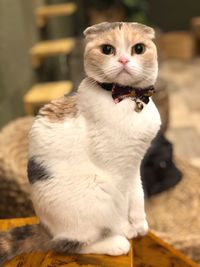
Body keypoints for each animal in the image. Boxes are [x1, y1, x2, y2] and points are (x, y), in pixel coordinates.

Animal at [0, 22, 160, 264]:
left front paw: (139, 224)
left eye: (139, 48)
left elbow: (137, 195)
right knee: (68, 245)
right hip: (95, 195)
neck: (128, 97)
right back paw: (116, 242)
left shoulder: (134, 165)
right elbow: (122, 203)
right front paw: (126, 228)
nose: (123, 60)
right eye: (107, 49)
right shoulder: (116, 171)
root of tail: (45, 229)